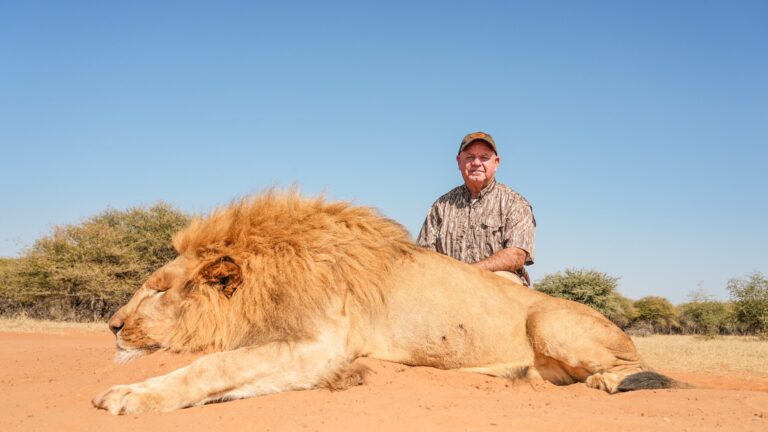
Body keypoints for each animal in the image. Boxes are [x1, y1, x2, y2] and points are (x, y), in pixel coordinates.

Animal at [93, 190, 681, 415]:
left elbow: (212, 364)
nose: (113, 326)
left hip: (552, 322)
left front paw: (126, 395)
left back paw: (607, 383)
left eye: (160, 289)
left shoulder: (319, 345)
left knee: (632, 366)